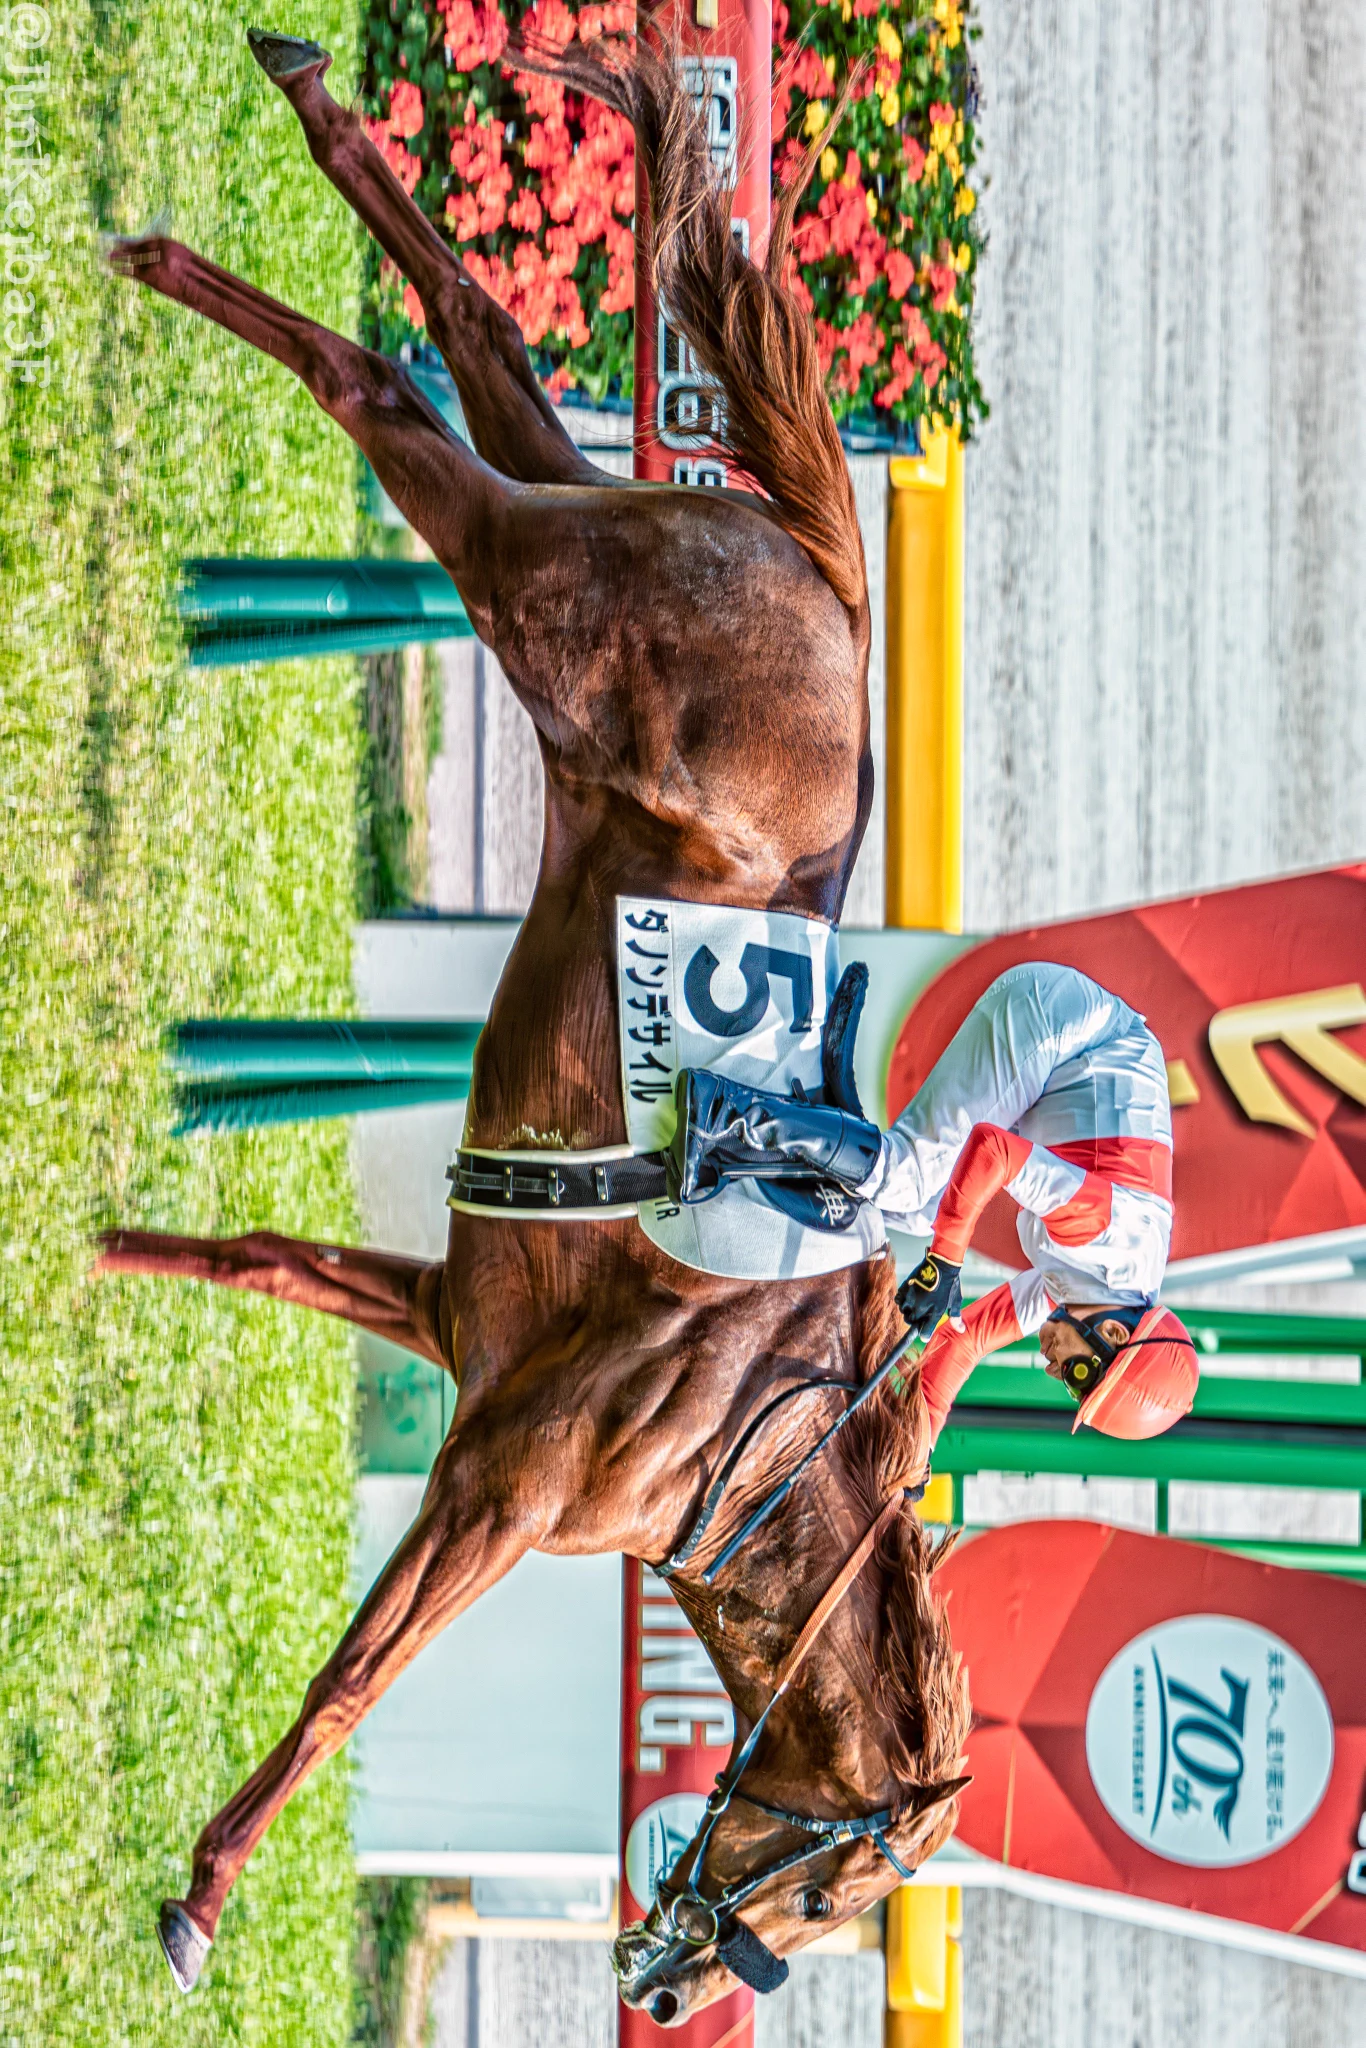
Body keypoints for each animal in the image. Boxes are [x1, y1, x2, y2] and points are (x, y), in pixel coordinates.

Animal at [100, 24, 970, 2024]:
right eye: (850, 1883)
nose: (681, 1979)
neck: (746, 1452)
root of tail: (829, 569)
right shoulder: (493, 1490)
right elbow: (355, 1675)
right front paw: (202, 1890)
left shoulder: (450, 1328)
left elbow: (258, 1260)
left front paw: (97, 1246)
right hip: (543, 589)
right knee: (390, 391)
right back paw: (185, 241)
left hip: (564, 532)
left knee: (476, 340)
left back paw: (305, 113)